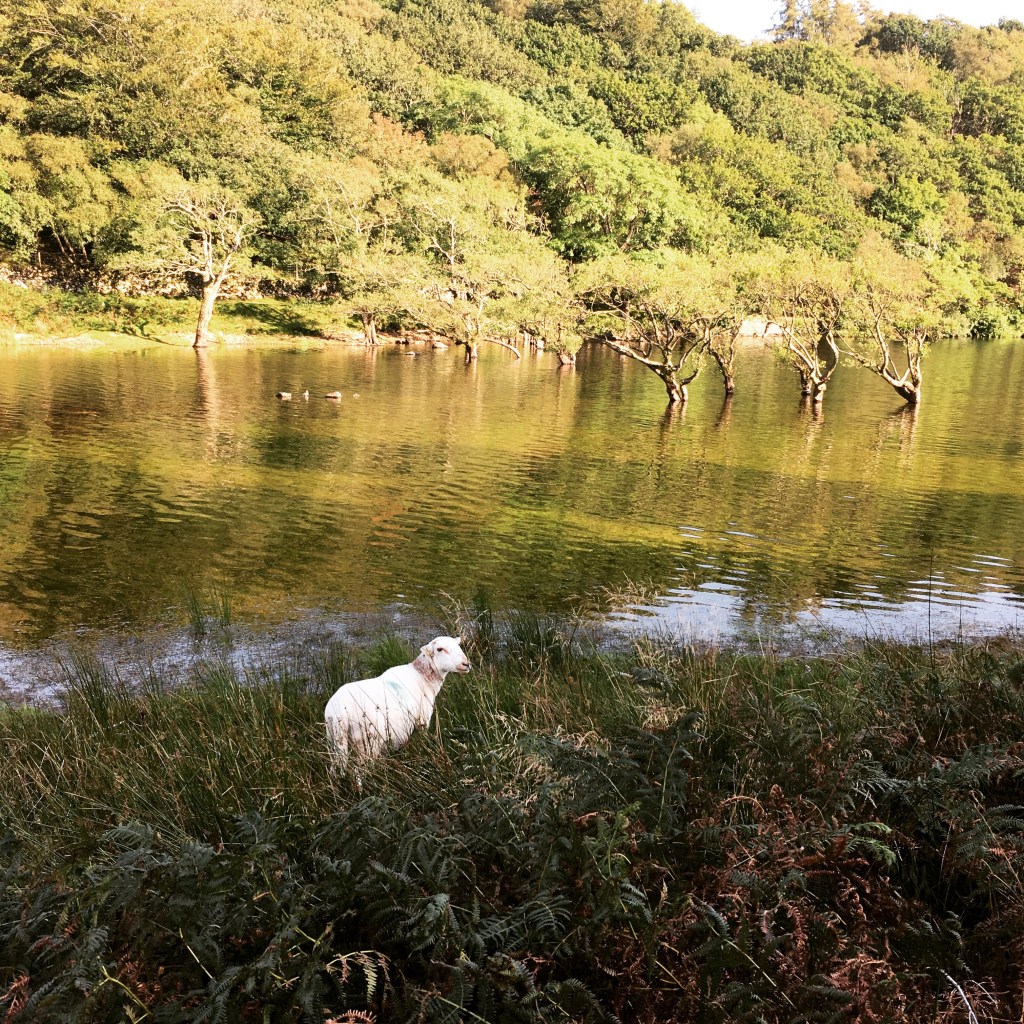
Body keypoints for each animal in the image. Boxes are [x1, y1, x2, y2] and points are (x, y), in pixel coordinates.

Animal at [324, 636, 470, 773]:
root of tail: (339, 714)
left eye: (458, 645)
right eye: (440, 649)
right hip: (366, 742)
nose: (466, 664)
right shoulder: (422, 721)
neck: (423, 677)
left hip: (335, 741)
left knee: (335, 769)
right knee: (359, 771)